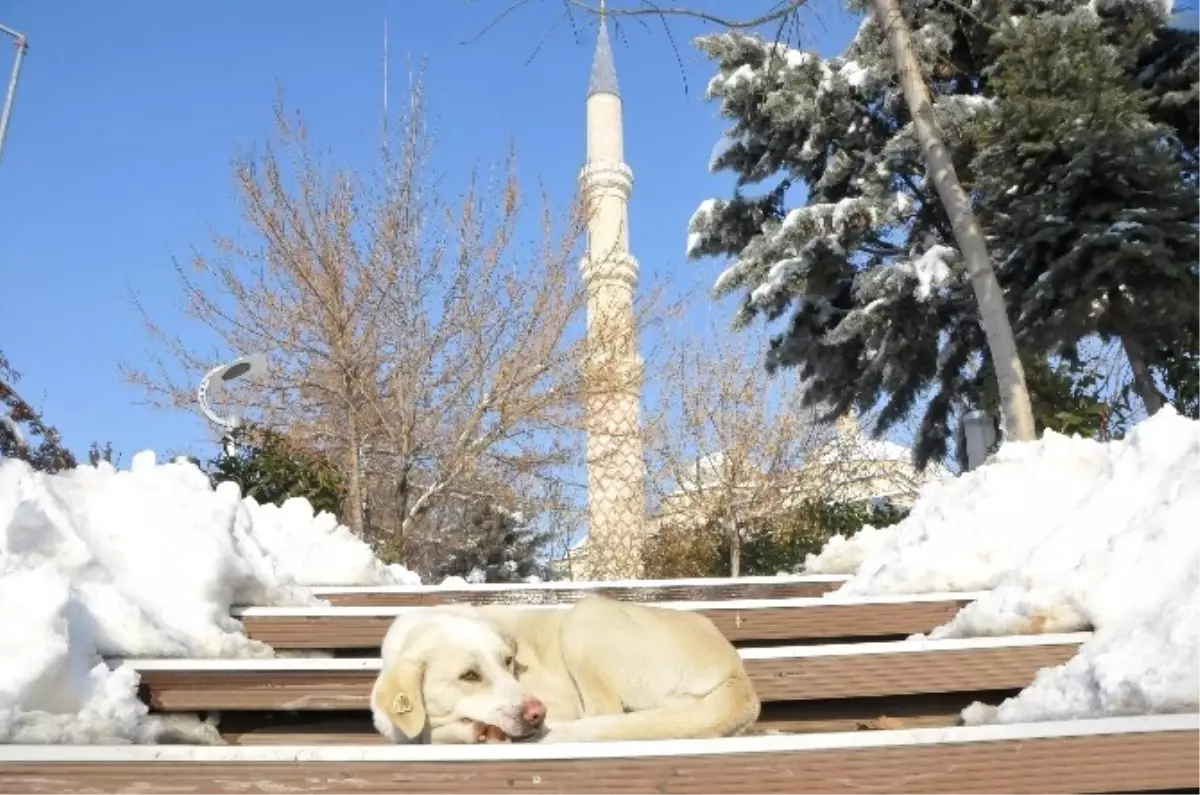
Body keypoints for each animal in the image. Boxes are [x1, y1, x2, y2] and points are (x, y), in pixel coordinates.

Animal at [369, 598, 758, 749]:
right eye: (469, 676)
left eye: (509, 661)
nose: (536, 714)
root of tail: (738, 675)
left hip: (583, 614)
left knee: (604, 714)